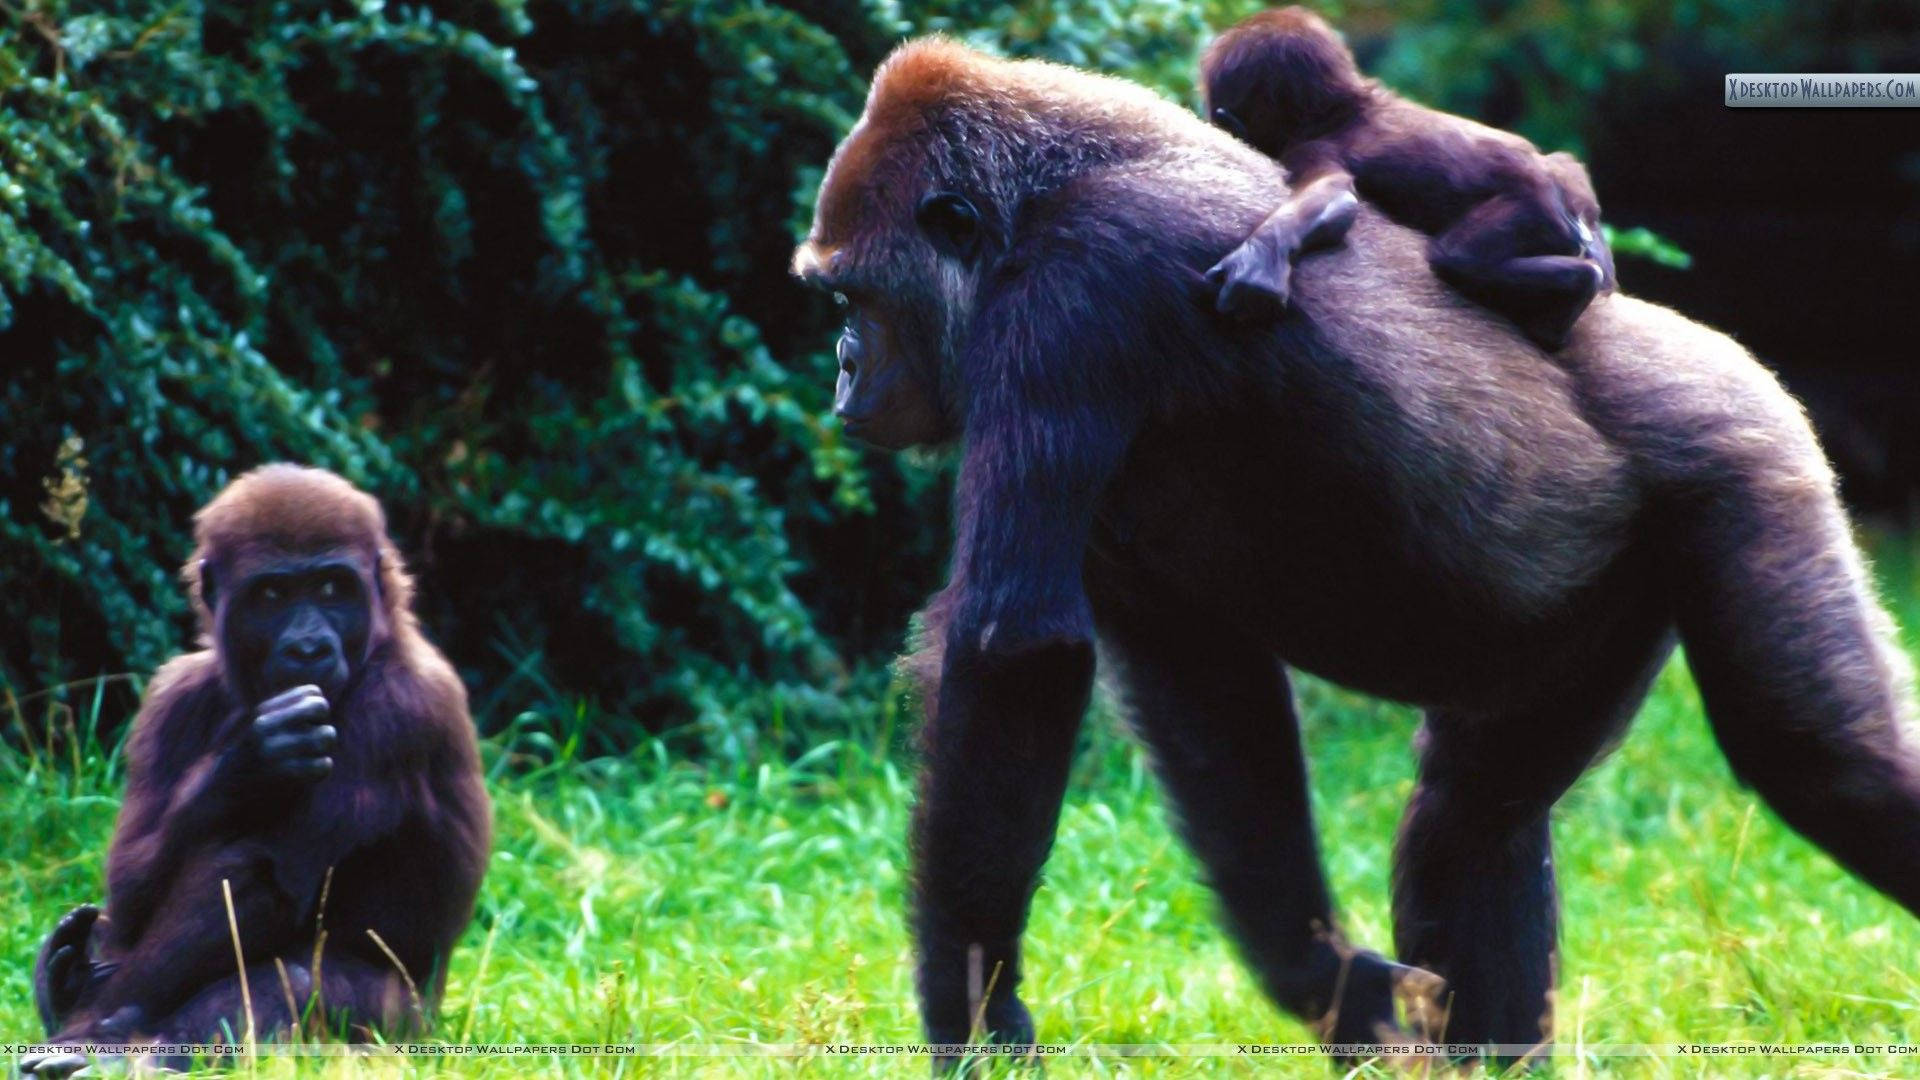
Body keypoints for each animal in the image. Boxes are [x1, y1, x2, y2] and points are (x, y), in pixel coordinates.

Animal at [25, 465, 490, 1075]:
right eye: (272, 595)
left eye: (332, 588)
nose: (310, 648)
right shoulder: (172, 695)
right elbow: (132, 890)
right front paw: (247, 762)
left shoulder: (399, 707)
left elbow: (264, 877)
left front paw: (97, 1024)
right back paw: (67, 984)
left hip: (406, 1033)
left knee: (290, 977)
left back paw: (135, 1047)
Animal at [1201, 6, 1615, 349]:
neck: (1343, 109)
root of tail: (1570, 206)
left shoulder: (1310, 149)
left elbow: (1333, 196)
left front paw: (1258, 261)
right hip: (1567, 187)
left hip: (1533, 208)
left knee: (1457, 258)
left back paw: (1574, 292)